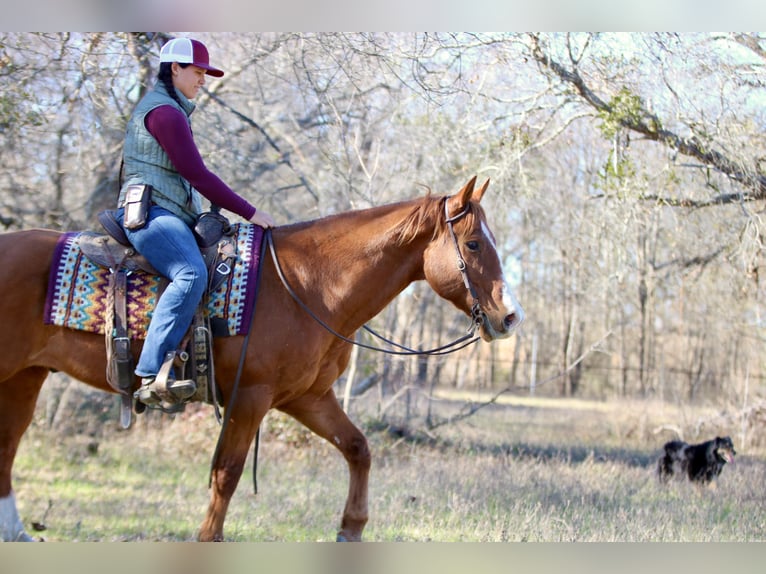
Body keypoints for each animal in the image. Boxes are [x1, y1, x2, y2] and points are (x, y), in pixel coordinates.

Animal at [0, 176, 523, 542]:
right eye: (474, 243)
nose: (510, 317)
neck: (309, 285)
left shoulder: (308, 398)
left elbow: (358, 448)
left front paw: (351, 528)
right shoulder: (250, 398)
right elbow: (227, 473)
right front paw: (208, 540)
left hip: (25, 377)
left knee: (9, 444)